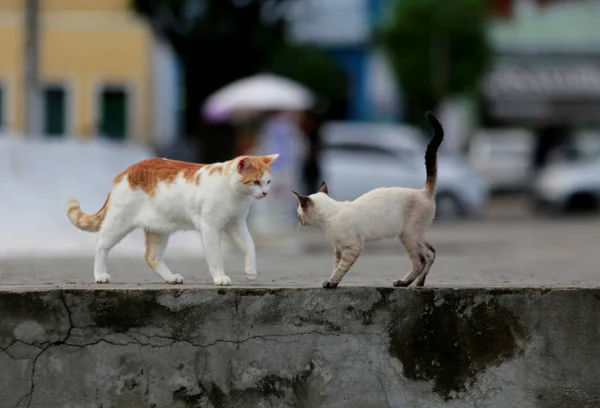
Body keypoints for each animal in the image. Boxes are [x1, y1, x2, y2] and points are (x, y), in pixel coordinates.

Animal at [66, 155, 278, 286]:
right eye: (256, 182)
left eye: (268, 182)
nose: (266, 193)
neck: (235, 196)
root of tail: (126, 171)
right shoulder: (210, 228)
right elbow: (216, 257)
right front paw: (220, 278)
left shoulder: (236, 224)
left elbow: (250, 246)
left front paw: (251, 271)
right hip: (119, 222)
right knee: (101, 243)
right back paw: (100, 274)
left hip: (158, 230)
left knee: (151, 257)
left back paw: (170, 278)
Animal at [292, 111, 442, 288]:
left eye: (298, 214)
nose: (299, 221)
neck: (327, 219)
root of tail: (423, 191)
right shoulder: (338, 249)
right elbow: (335, 266)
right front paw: (331, 281)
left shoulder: (352, 247)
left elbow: (340, 268)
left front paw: (331, 283)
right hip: (415, 234)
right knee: (430, 252)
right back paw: (419, 282)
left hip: (408, 235)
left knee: (420, 260)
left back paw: (403, 282)